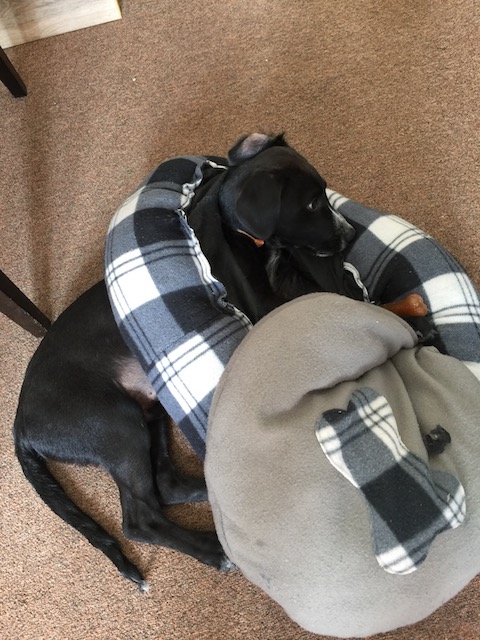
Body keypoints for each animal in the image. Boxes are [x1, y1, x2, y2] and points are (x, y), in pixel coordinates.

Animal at [14, 132, 356, 588]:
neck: (238, 231)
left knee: (166, 484)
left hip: (151, 411)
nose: (350, 235)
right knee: (139, 518)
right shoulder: (262, 307)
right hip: (115, 424)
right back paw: (213, 549)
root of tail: (20, 424)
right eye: (312, 204)